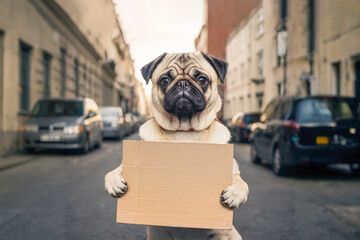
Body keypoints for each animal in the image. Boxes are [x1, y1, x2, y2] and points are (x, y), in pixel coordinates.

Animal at [105, 52, 249, 240]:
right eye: (165, 80)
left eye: (202, 80)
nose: (183, 83)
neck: (184, 131)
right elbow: (113, 171)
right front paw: (114, 182)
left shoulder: (233, 171)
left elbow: (242, 183)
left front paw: (233, 194)